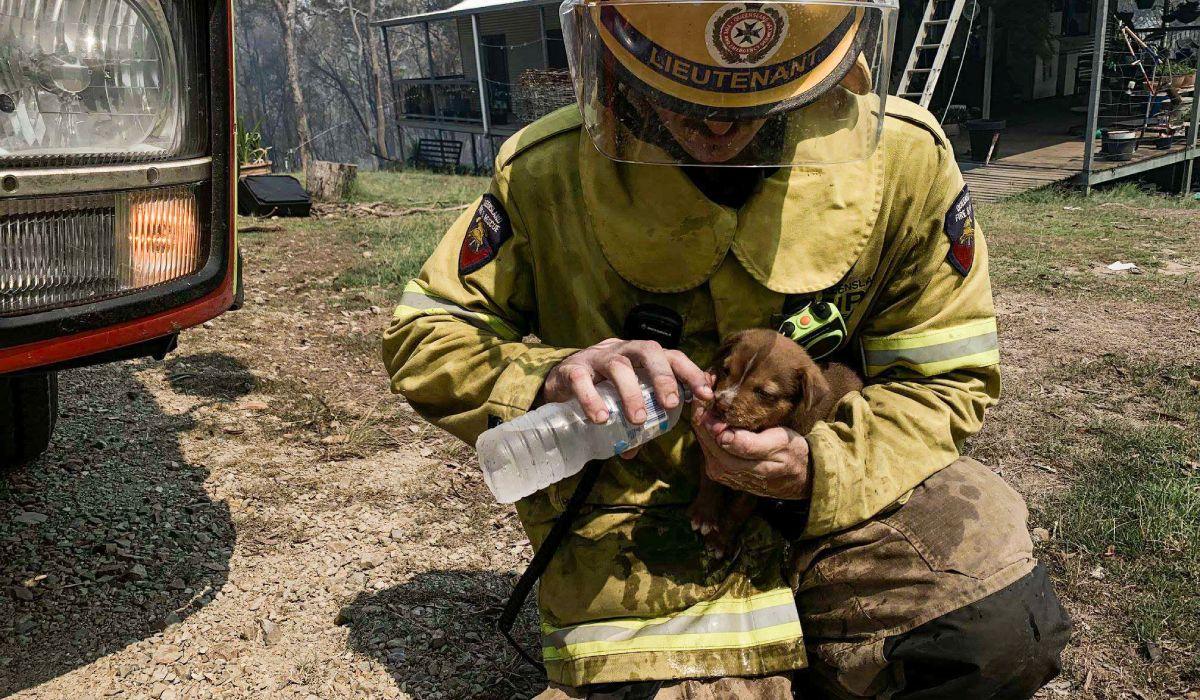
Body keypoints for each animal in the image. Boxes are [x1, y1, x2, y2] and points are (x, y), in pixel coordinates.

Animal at [686, 331, 864, 557]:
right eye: (726, 370)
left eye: (764, 393)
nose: (720, 403)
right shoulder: (708, 451)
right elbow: (709, 478)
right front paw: (704, 513)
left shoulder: (756, 485)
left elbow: (737, 511)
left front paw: (719, 540)